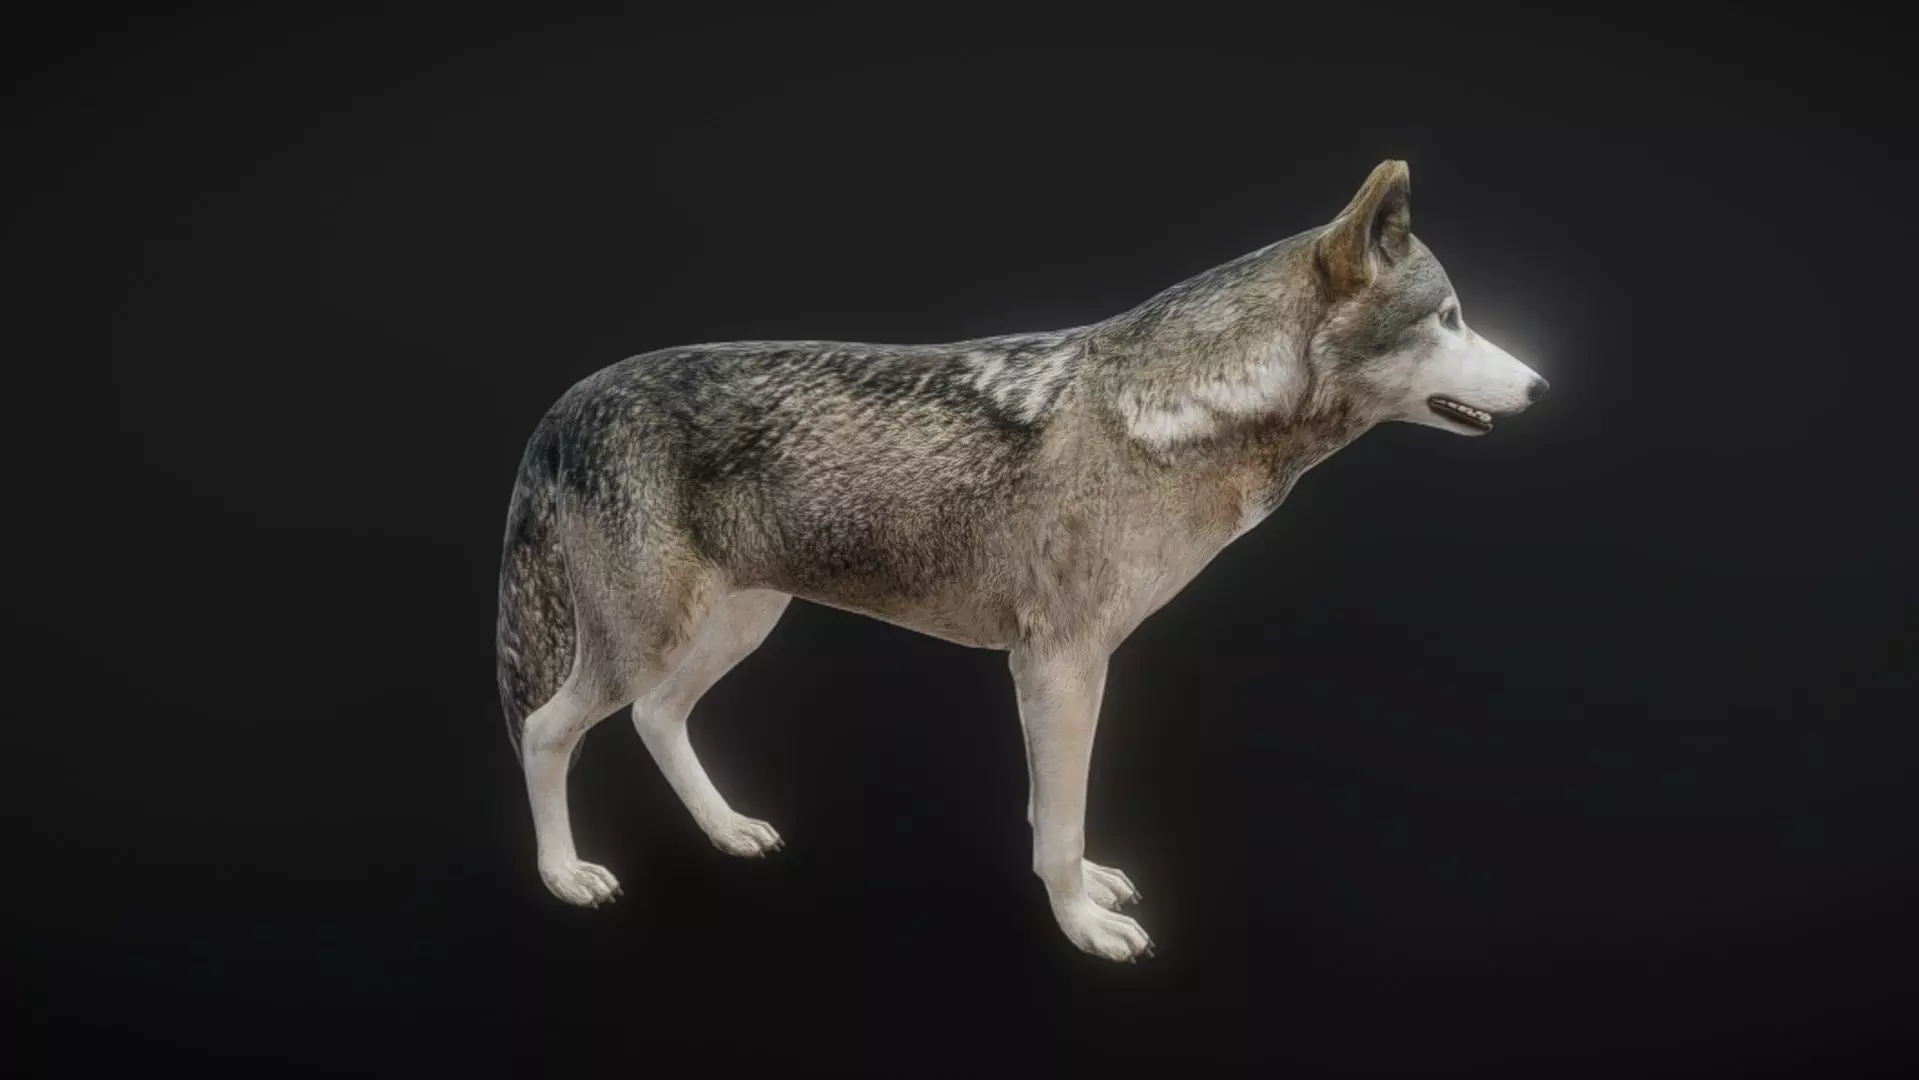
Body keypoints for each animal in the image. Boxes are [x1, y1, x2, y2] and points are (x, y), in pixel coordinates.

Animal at [495, 160, 1549, 962]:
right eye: (1448, 318)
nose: (1542, 387)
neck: (1170, 422)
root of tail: (566, 402)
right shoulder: (1060, 665)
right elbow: (1063, 819)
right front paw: (1083, 925)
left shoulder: (1063, 672)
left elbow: (1055, 817)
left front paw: (1089, 893)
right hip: (648, 637)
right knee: (549, 729)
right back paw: (564, 875)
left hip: (736, 625)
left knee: (658, 718)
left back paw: (728, 830)